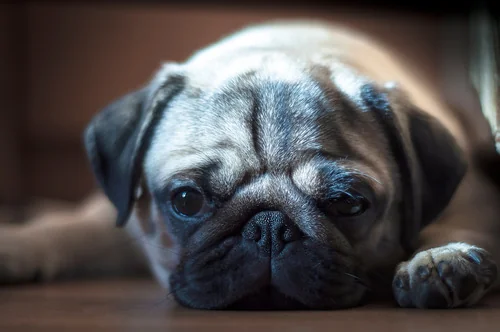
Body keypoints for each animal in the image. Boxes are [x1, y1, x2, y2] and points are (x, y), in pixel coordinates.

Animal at [0, 21, 500, 312]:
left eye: (348, 203)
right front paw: (19, 244)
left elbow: (458, 223)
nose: (269, 228)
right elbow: (67, 231)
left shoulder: (475, 198)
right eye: (186, 200)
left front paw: (441, 257)